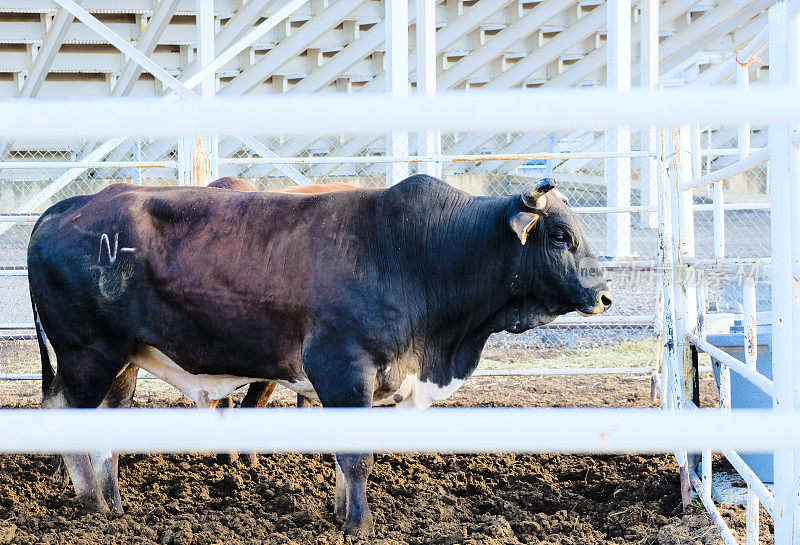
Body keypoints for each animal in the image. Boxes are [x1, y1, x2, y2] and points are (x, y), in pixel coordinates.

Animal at [28, 174, 608, 536]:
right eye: (560, 235)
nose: (604, 295)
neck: (420, 253)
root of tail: (69, 205)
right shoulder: (343, 369)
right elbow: (355, 456)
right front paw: (358, 524)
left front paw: (338, 513)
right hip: (88, 354)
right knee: (64, 413)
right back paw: (92, 504)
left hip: (124, 360)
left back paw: (114, 507)